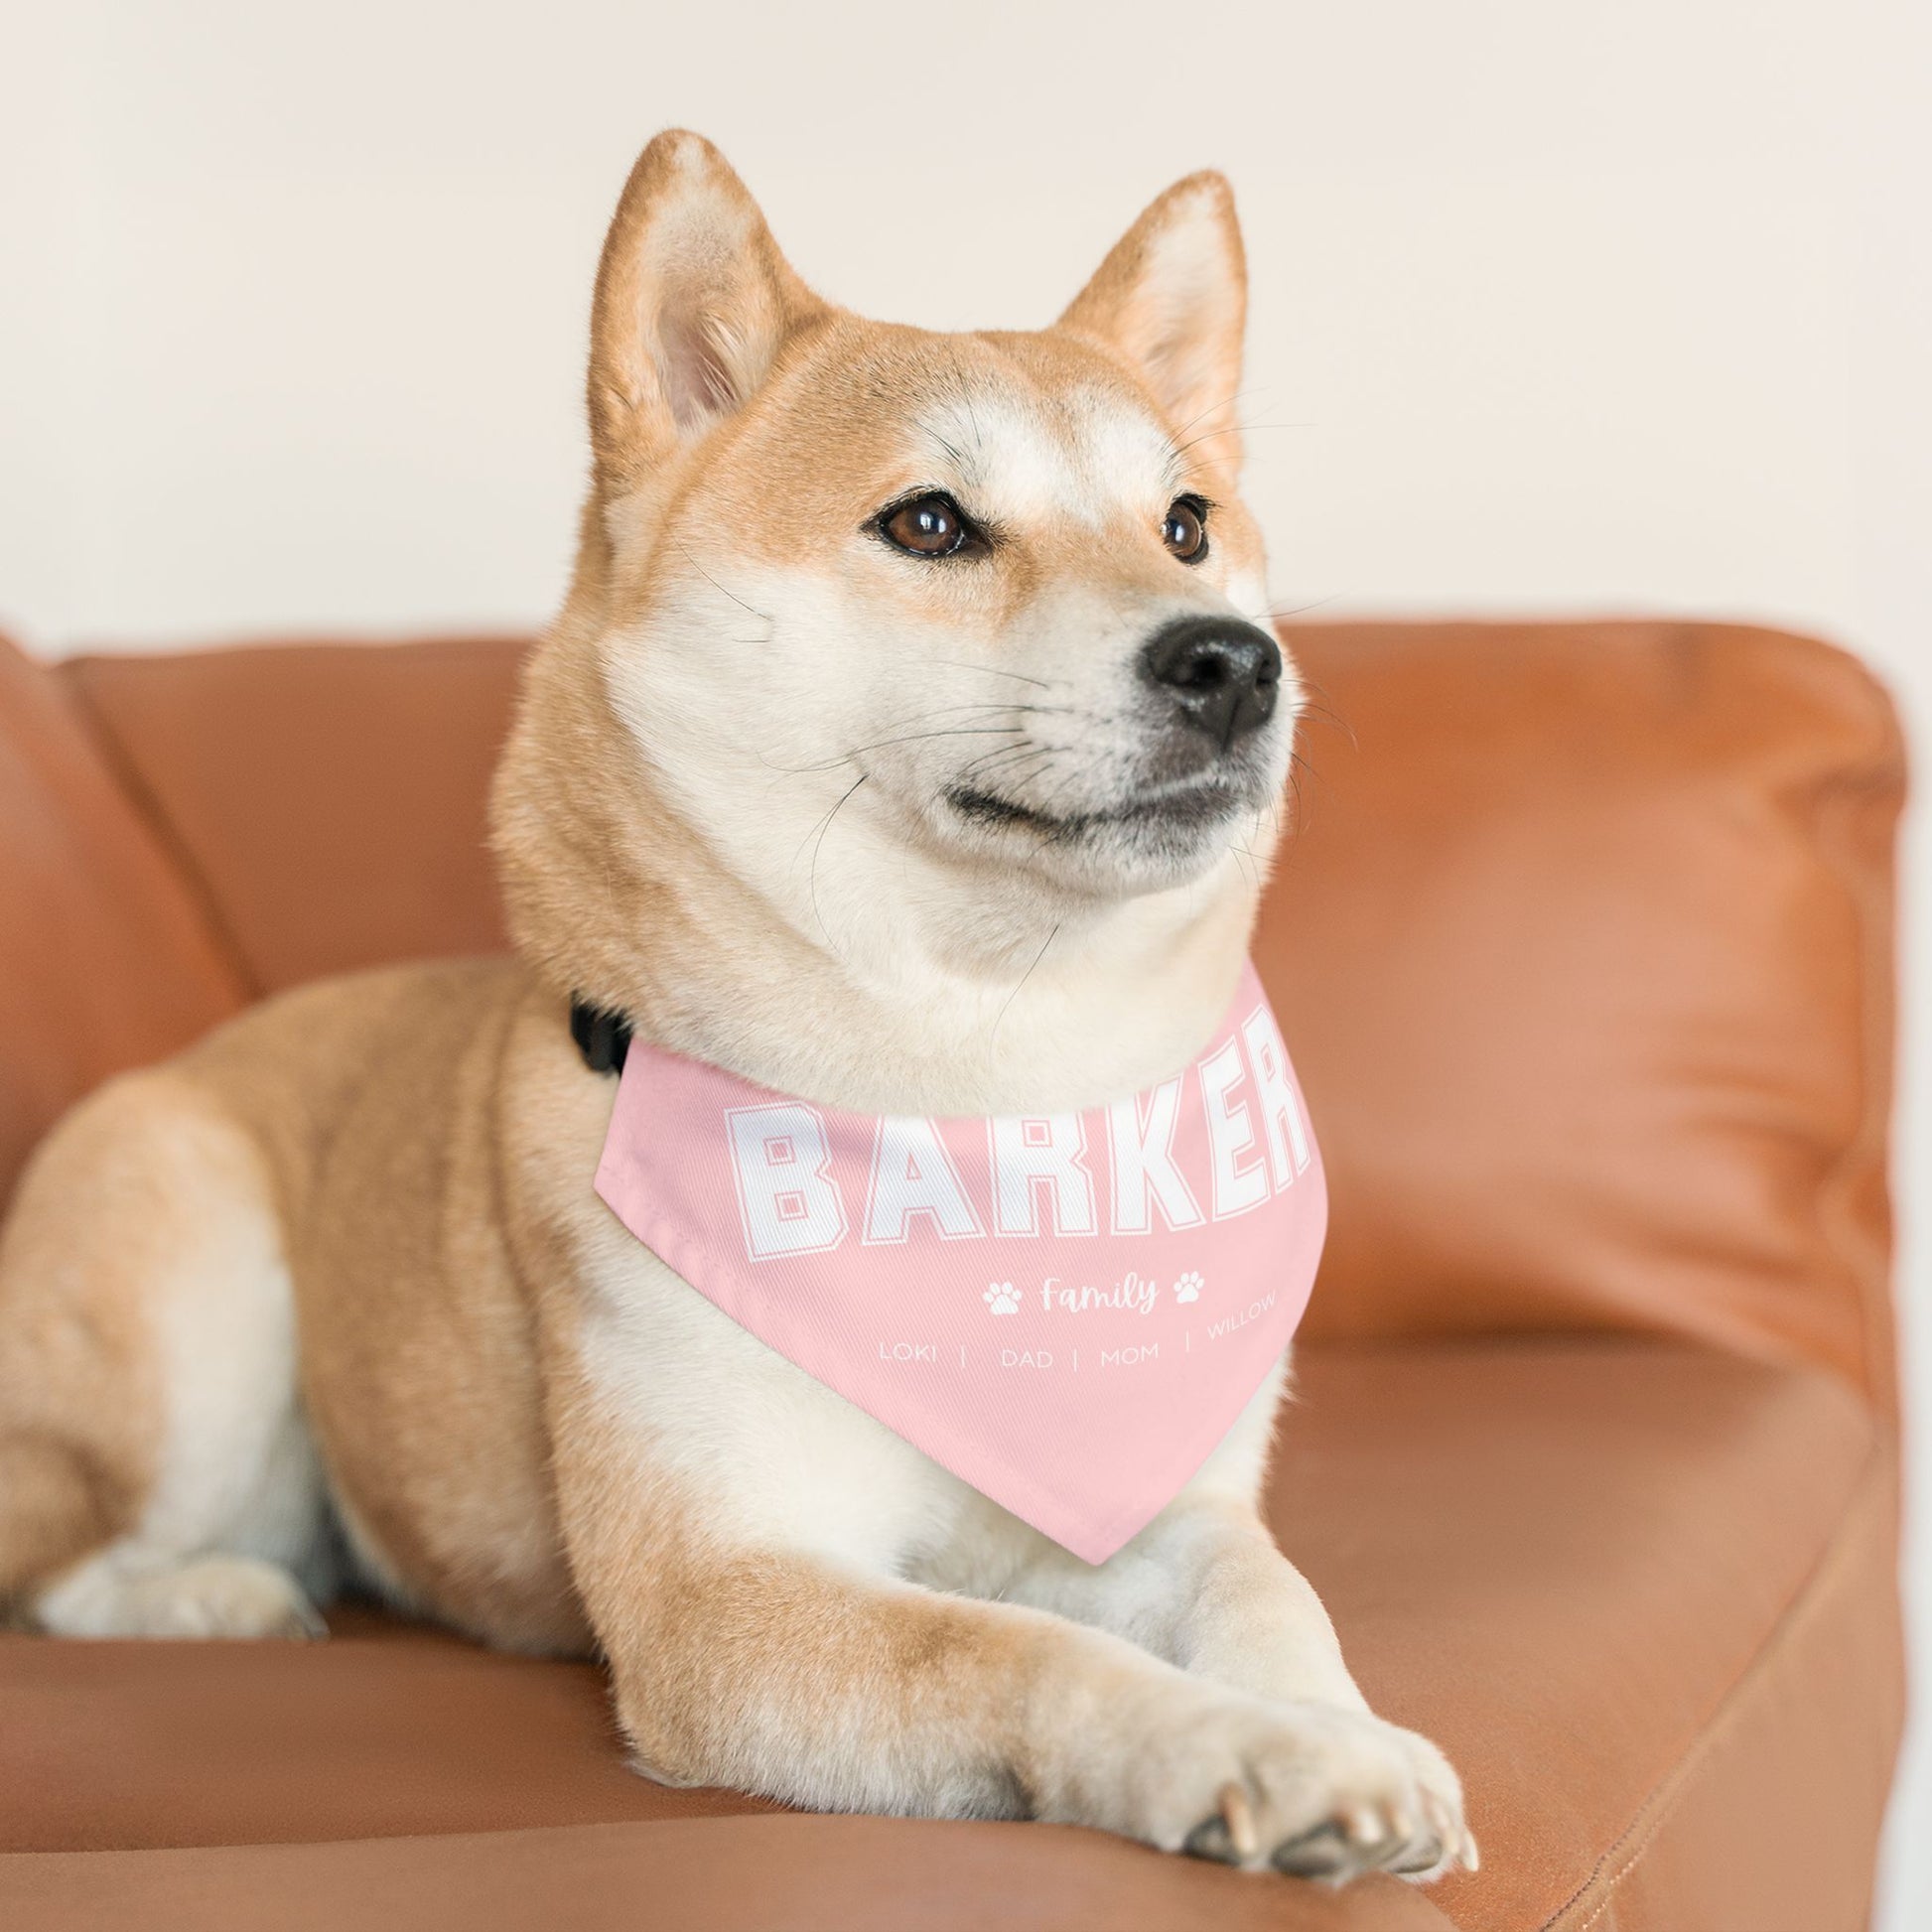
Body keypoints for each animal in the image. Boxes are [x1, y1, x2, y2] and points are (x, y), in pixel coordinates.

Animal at [0, 128, 1467, 1877]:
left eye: (1185, 522)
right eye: (928, 522)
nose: (1235, 662)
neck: (979, 1100)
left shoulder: (1164, 1499)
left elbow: (1267, 1592)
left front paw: (1339, 1727)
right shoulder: (723, 1594)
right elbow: (1022, 1651)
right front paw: (1242, 1748)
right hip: (194, 1288)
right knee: (64, 1561)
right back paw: (218, 1594)